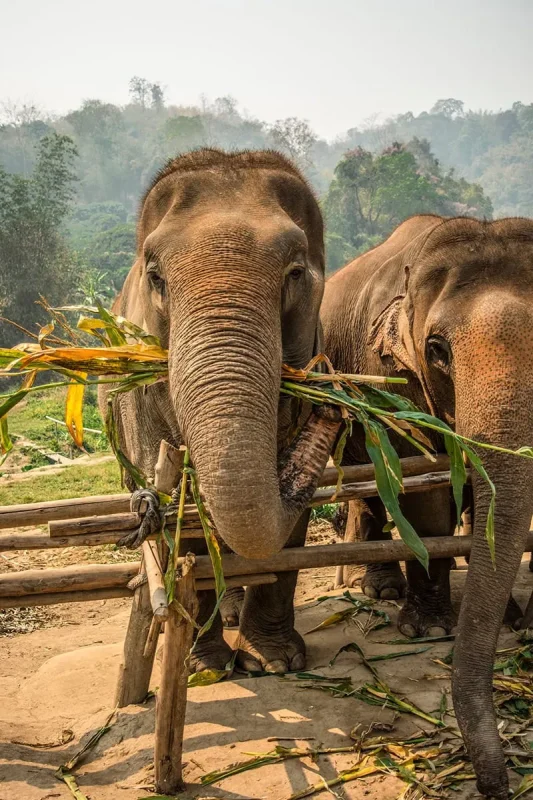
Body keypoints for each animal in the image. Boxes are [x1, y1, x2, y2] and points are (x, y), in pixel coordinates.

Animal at [99, 148, 341, 675]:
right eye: (155, 276)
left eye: (295, 273)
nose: (335, 409)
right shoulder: (140, 394)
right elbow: (179, 508)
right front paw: (204, 666)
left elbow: (287, 522)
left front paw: (273, 662)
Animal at [321, 214, 533, 799]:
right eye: (437, 348)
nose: (496, 787)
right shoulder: (390, 375)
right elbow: (425, 489)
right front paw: (431, 630)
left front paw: (512, 620)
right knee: (372, 482)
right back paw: (378, 589)